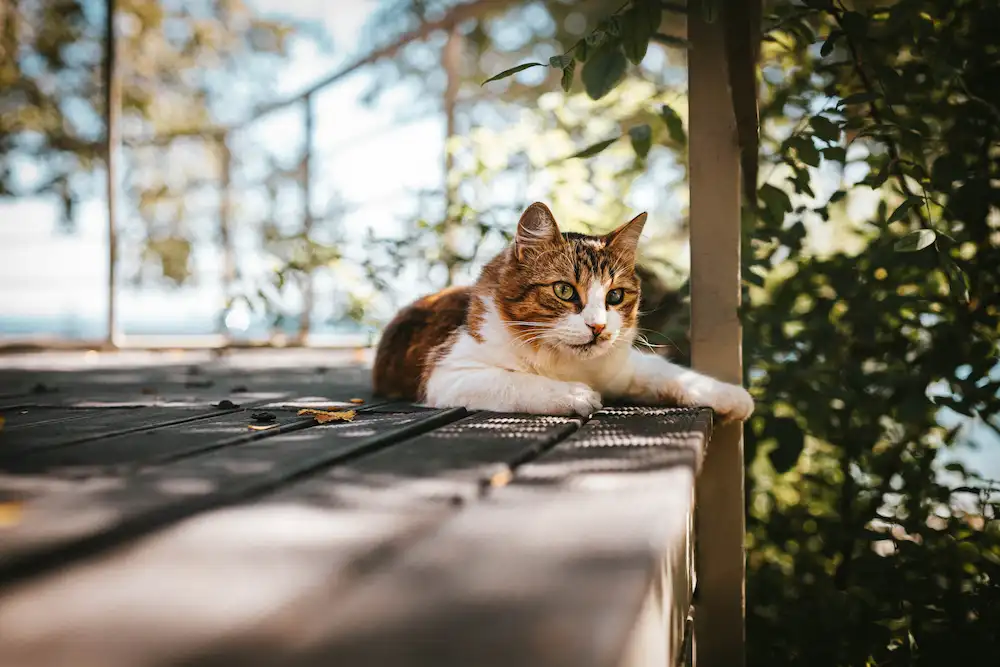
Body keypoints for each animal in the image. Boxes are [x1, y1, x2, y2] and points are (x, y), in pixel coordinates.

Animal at [372, 202, 752, 422]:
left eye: (615, 296)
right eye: (564, 291)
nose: (598, 327)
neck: (569, 364)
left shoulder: (623, 366)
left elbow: (668, 372)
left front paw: (732, 396)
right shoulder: (449, 372)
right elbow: (516, 381)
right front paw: (572, 394)